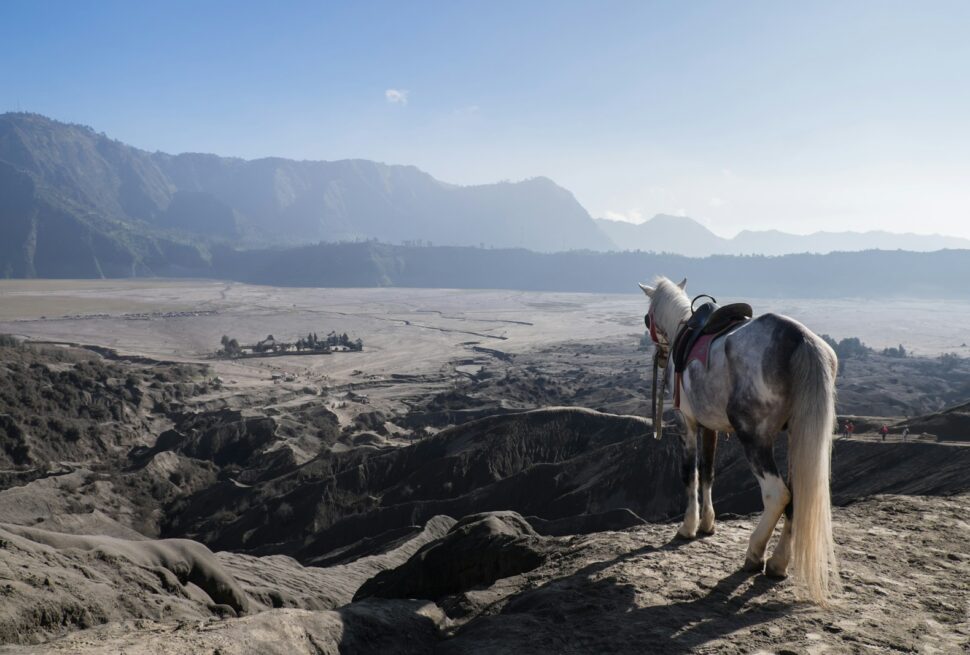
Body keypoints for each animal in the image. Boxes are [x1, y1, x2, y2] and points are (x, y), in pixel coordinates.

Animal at [640, 276, 836, 604]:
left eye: (648, 318)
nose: (660, 353)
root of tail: (800, 340)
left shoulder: (687, 423)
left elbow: (690, 474)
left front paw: (688, 526)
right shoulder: (711, 427)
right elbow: (708, 472)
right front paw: (708, 524)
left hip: (755, 438)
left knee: (777, 494)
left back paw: (755, 554)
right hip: (798, 436)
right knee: (796, 495)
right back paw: (778, 563)